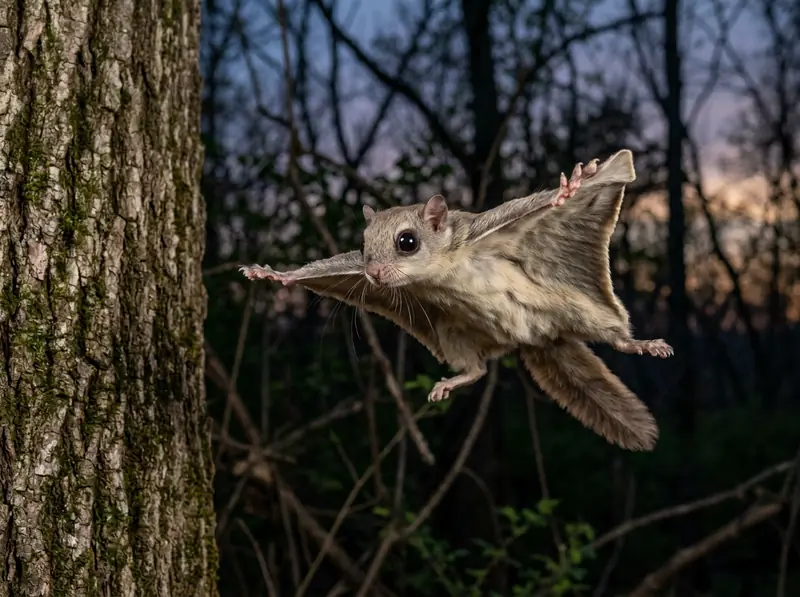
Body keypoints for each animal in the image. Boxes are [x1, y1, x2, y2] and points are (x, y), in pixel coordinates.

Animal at [241, 149, 672, 451]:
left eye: (407, 241)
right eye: (362, 247)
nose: (373, 274)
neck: (445, 268)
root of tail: (540, 340)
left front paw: (573, 186)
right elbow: (312, 271)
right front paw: (274, 274)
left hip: (579, 307)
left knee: (616, 336)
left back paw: (643, 344)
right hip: (455, 334)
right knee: (477, 371)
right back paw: (452, 382)